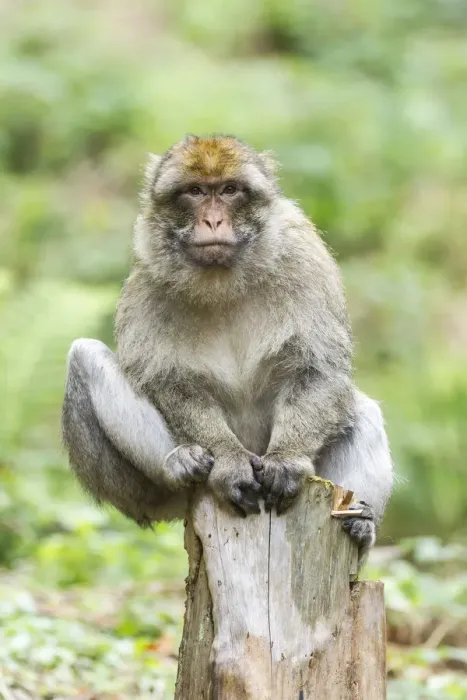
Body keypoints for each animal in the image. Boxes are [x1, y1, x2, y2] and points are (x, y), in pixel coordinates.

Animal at [62, 134, 393, 561]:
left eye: (230, 190)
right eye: (196, 192)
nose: (213, 221)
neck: (224, 279)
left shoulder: (304, 259)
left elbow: (319, 368)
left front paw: (287, 460)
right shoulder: (148, 277)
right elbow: (169, 381)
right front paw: (228, 461)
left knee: (361, 410)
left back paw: (361, 525)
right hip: (139, 495)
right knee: (83, 356)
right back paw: (181, 465)